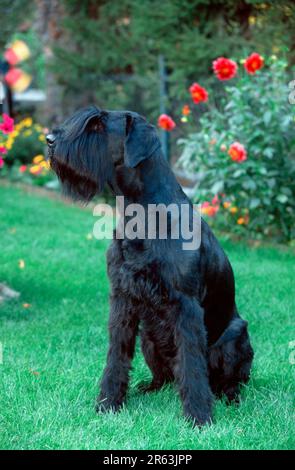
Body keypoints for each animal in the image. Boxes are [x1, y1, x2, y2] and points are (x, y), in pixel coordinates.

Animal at [46, 106, 254, 426]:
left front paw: (199, 417)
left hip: (236, 338)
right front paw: (108, 403)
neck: (142, 213)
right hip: (148, 337)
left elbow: (192, 365)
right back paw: (148, 388)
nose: (49, 140)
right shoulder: (122, 298)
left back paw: (229, 398)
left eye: (98, 125)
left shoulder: (186, 306)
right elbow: (116, 356)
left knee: (228, 380)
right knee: (166, 377)